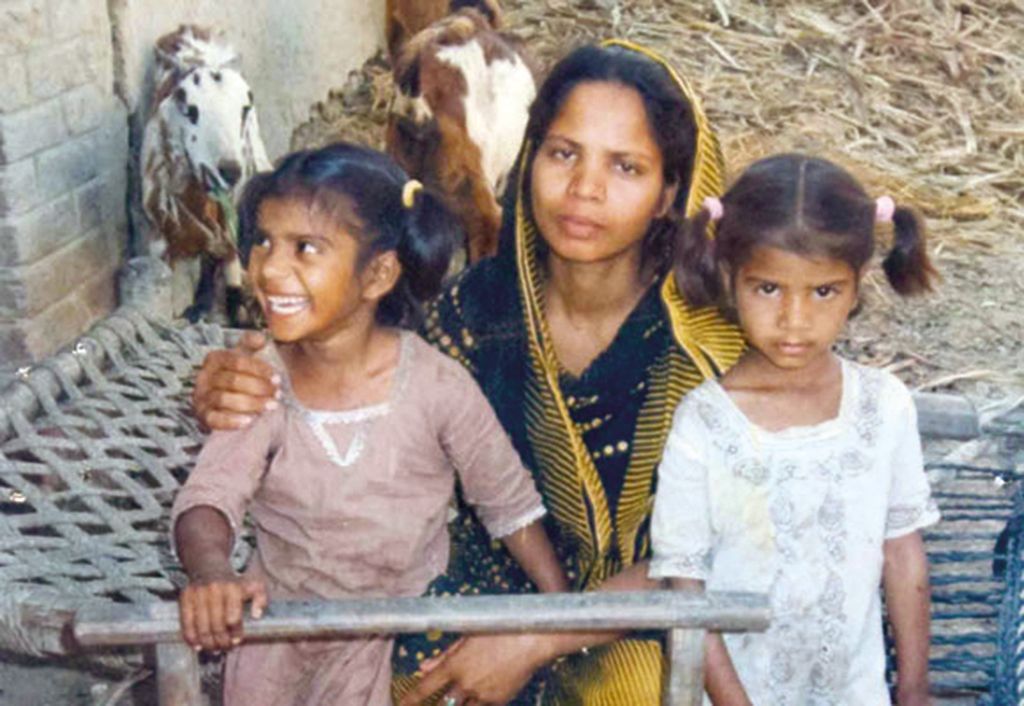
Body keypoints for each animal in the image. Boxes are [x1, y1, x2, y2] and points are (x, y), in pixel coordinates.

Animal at [142, 25, 276, 325]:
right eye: (191, 111)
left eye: (244, 110)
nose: (230, 170)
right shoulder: (161, 222)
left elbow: (220, 252)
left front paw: (216, 307)